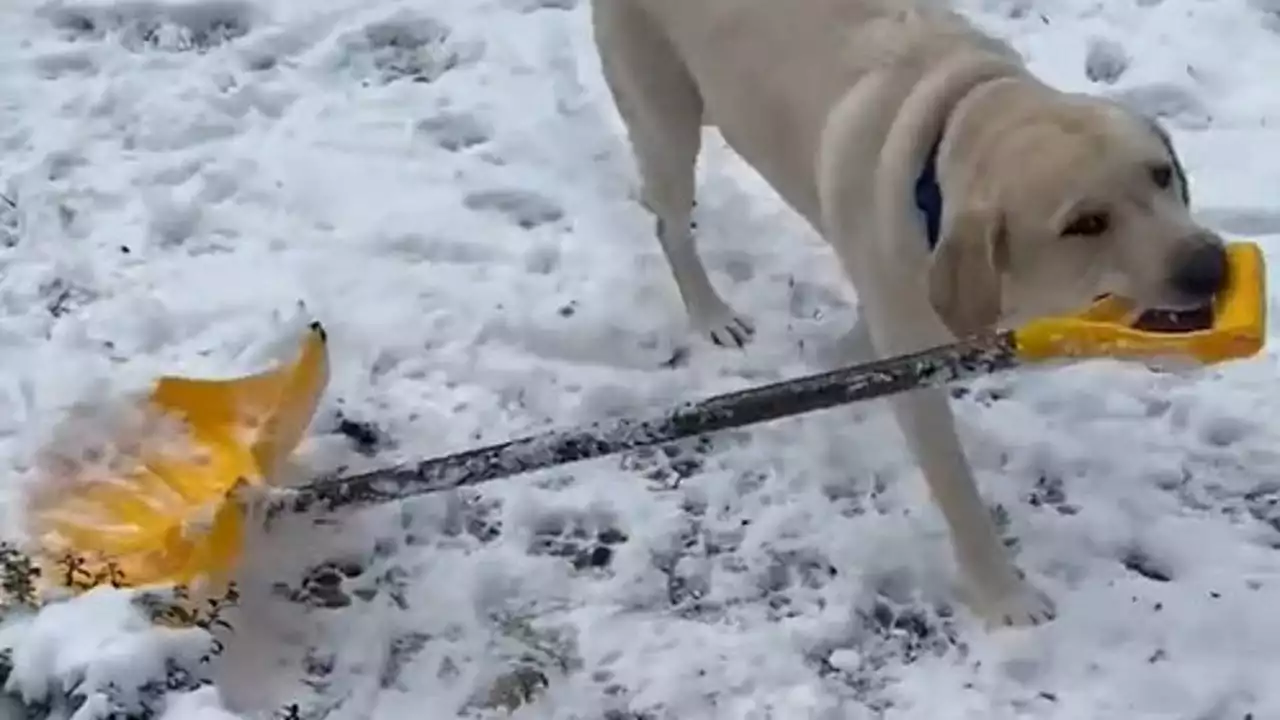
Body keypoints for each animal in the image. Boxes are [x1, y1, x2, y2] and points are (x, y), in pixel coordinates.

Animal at [588, 0, 1228, 622]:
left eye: (1161, 174)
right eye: (1086, 223)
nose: (1212, 266)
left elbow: (854, 350)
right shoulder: (917, 372)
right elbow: (959, 493)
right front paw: (1005, 599)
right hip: (667, 123)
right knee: (668, 223)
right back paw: (711, 313)